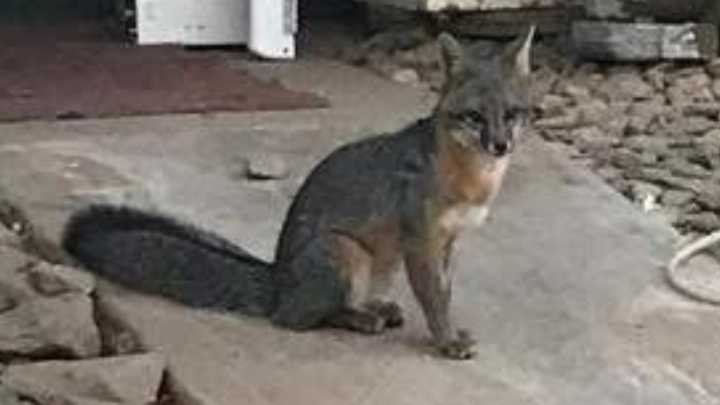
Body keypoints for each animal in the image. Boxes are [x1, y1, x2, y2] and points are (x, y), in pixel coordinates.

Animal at [62, 28, 536, 360]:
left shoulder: (448, 242)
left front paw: (451, 333)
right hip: (345, 251)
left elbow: (446, 293)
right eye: (474, 117)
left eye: (512, 114)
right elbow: (435, 299)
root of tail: (277, 277)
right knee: (296, 320)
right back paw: (359, 317)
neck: (472, 181)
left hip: (381, 262)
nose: (501, 145)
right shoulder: (421, 242)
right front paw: (446, 341)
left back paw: (376, 308)